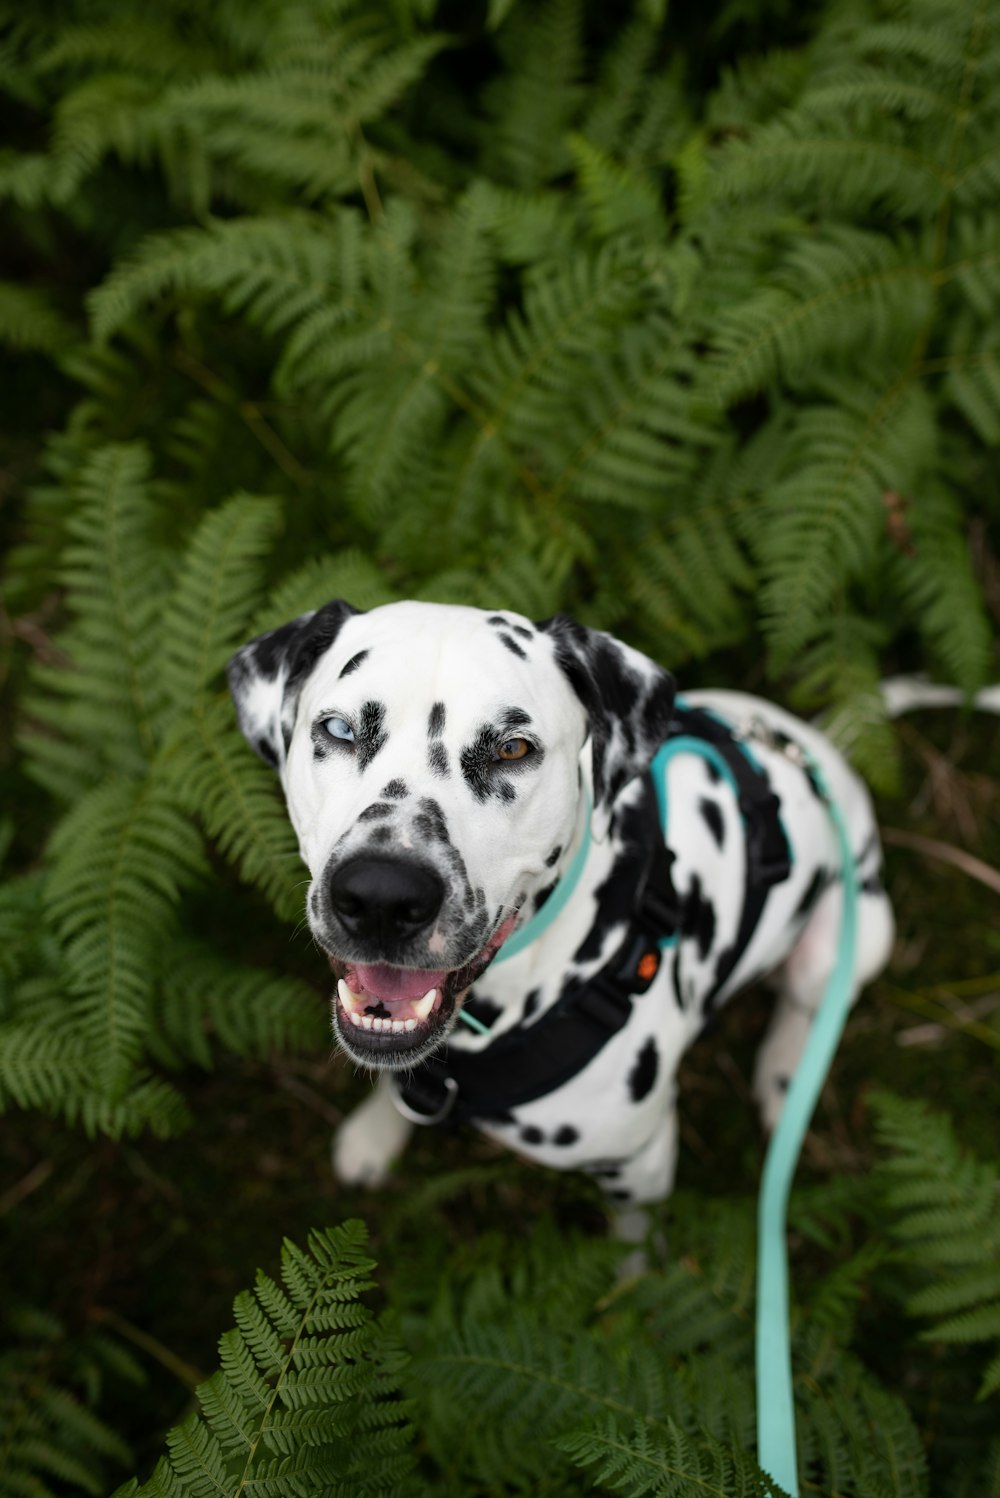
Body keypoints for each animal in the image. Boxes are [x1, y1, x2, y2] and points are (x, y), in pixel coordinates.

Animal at [230, 596, 892, 1228]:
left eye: (512, 748)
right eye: (340, 729)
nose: (381, 897)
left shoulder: (640, 1166)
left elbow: (637, 1247)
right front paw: (373, 1135)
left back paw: (785, 1074)